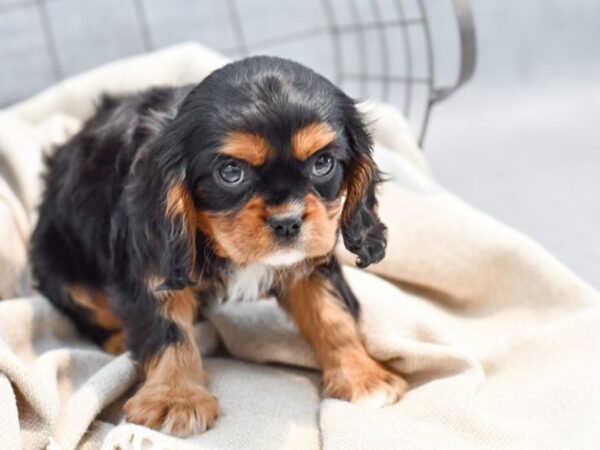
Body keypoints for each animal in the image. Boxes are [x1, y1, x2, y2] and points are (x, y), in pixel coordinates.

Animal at [31, 56, 408, 436]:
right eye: (230, 172)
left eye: (323, 163)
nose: (287, 221)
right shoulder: (154, 264)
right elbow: (167, 329)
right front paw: (175, 398)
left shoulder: (311, 257)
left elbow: (332, 313)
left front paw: (362, 376)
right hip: (63, 270)